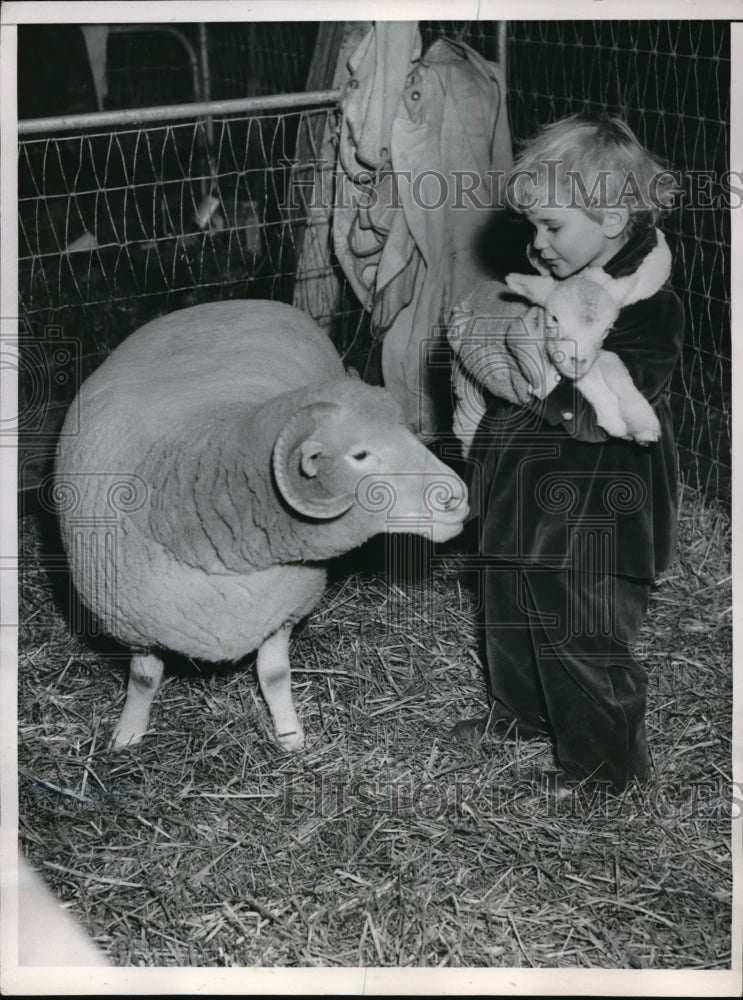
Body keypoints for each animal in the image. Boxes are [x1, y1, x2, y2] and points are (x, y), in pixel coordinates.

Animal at [55, 300, 468, 752]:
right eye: (360, 455)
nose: (457, 497)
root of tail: (228, 303)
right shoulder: (133, 625)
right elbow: (144, 680)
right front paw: (128, 734)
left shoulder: (281, 611)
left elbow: (273, 675)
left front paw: (290, 736)